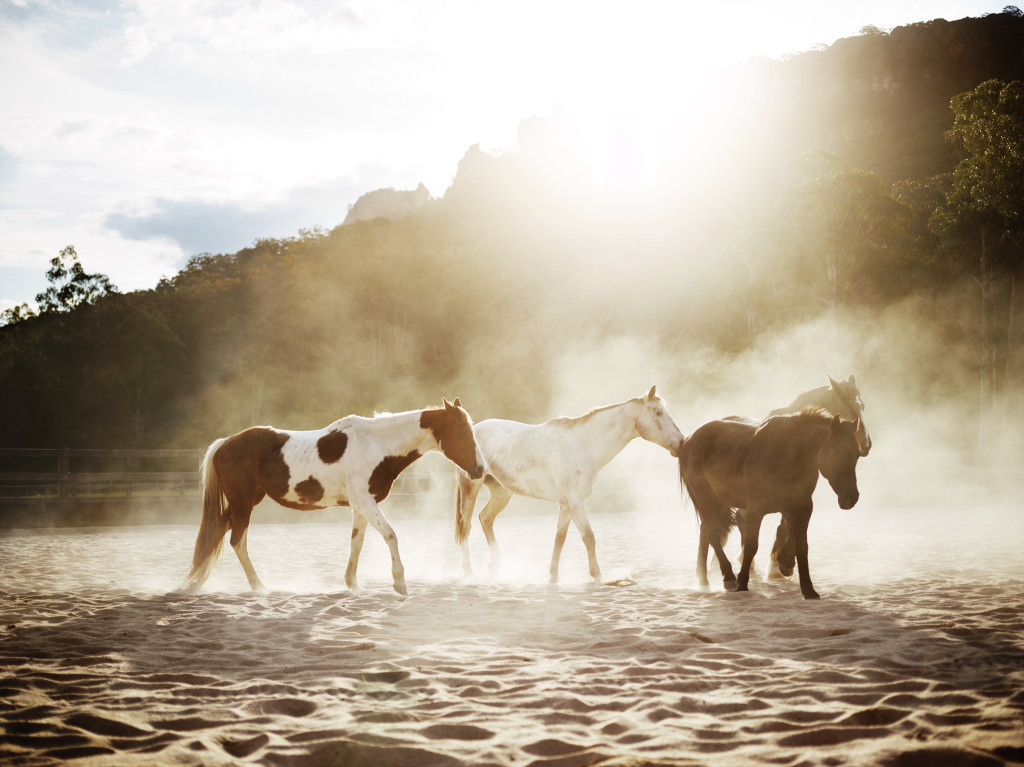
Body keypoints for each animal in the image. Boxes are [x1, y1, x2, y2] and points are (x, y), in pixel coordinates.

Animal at [185, 397, 487, 593]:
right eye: (462, 431)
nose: (481, 469)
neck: (377, 445)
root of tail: (225, 443)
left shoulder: (361, 505)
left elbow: (356, 543)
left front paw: (353, 585)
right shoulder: (364, 502)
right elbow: (391, 535)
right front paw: (399, 582)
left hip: (243, 502)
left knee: (217, 532)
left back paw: (198, 582)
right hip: (243, 503)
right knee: (237, 541)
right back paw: (258, 587)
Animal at [454, 385, 679, 581]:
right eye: (658, 412)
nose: (680, 442)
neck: (582, 445)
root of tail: (473, 430)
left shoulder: (565, 504)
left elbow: (559, 538)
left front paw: (553, 576)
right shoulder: (574, 501)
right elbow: (588, 536)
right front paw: (597, 576)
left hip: (502, 492)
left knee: (485, 519)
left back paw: (495, 567)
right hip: (470, 487)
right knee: (466, 525)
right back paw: (468, 571)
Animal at [679, 407, 864, 598]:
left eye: (857, 454)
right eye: (835, 453)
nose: (851, 497)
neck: (786, 454)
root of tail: (688, 441)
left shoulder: (802, 508)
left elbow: (801, 546)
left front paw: (807, 588)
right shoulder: (755, 510)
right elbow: (751, 546)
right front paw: (742, 583)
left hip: (719, 502)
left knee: (706, 532)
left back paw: (703, 580)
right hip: (707, 499)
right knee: (712, 534)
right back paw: (728, 577)